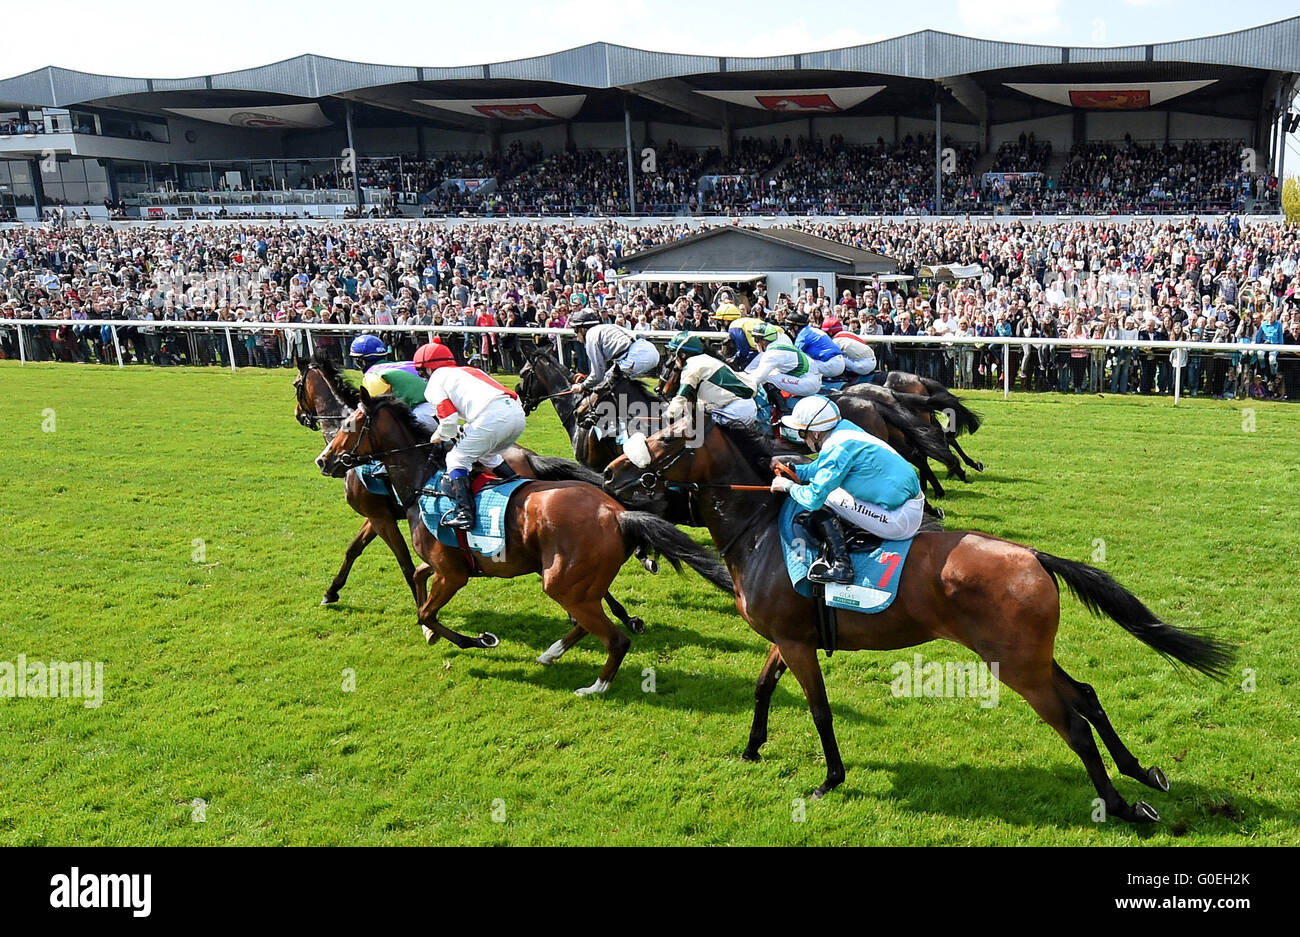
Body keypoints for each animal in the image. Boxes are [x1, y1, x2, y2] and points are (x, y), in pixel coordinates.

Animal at [299, 353, 655, 631]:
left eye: (297, 387)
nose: (324, 461)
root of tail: (527, 455)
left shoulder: (379, 516)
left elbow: (399, 562)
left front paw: (422, 614)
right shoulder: (379, 516)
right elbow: (355, 551)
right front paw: (332, 591)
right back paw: (617, 615)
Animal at [318, 389, 738, 696]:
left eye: (350, 425)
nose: (324, 460)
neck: (425, 481)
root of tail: (618, 514)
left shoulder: (452, 574)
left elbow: (425, 610)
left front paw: (480, 640)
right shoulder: (445, 565)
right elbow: (419, 578)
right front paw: (434, 633)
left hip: (563, 583)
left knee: (614, 639)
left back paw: (595, 686)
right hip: (574, 583)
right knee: (586, 622)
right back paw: (553, 653)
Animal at [603, 415, 1232, 821]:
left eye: (667, 438)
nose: (610, 471)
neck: (759, 527)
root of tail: (1033, 556)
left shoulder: (798, 642)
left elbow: (820, 710)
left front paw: (830, 779)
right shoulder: (786, 636)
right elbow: (762, 688)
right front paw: (752, 748)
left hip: (1016, 667)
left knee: (1074, 725)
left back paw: (1123, 807)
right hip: (1031, 658)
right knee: (1088, 696)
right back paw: (1141, 773)